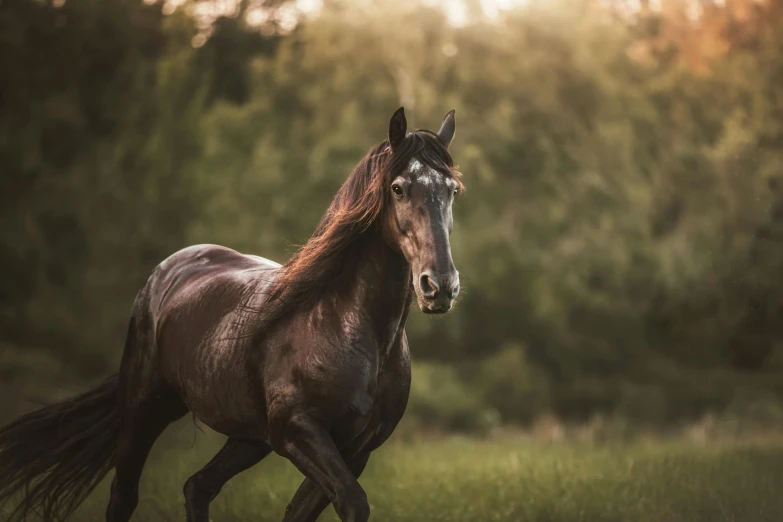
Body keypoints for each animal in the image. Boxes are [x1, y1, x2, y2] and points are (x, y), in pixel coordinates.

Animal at [0, 106, 466, 520]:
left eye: (452, 190)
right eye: (399, 188)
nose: (440, 286)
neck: (351, 328)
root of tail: (167, 270)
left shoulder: (357, 449)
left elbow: (302, 511)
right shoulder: (298, 431)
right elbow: (352, 502)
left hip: (246, 437)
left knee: (197, 487)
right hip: (144, 409)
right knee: (125, 496)